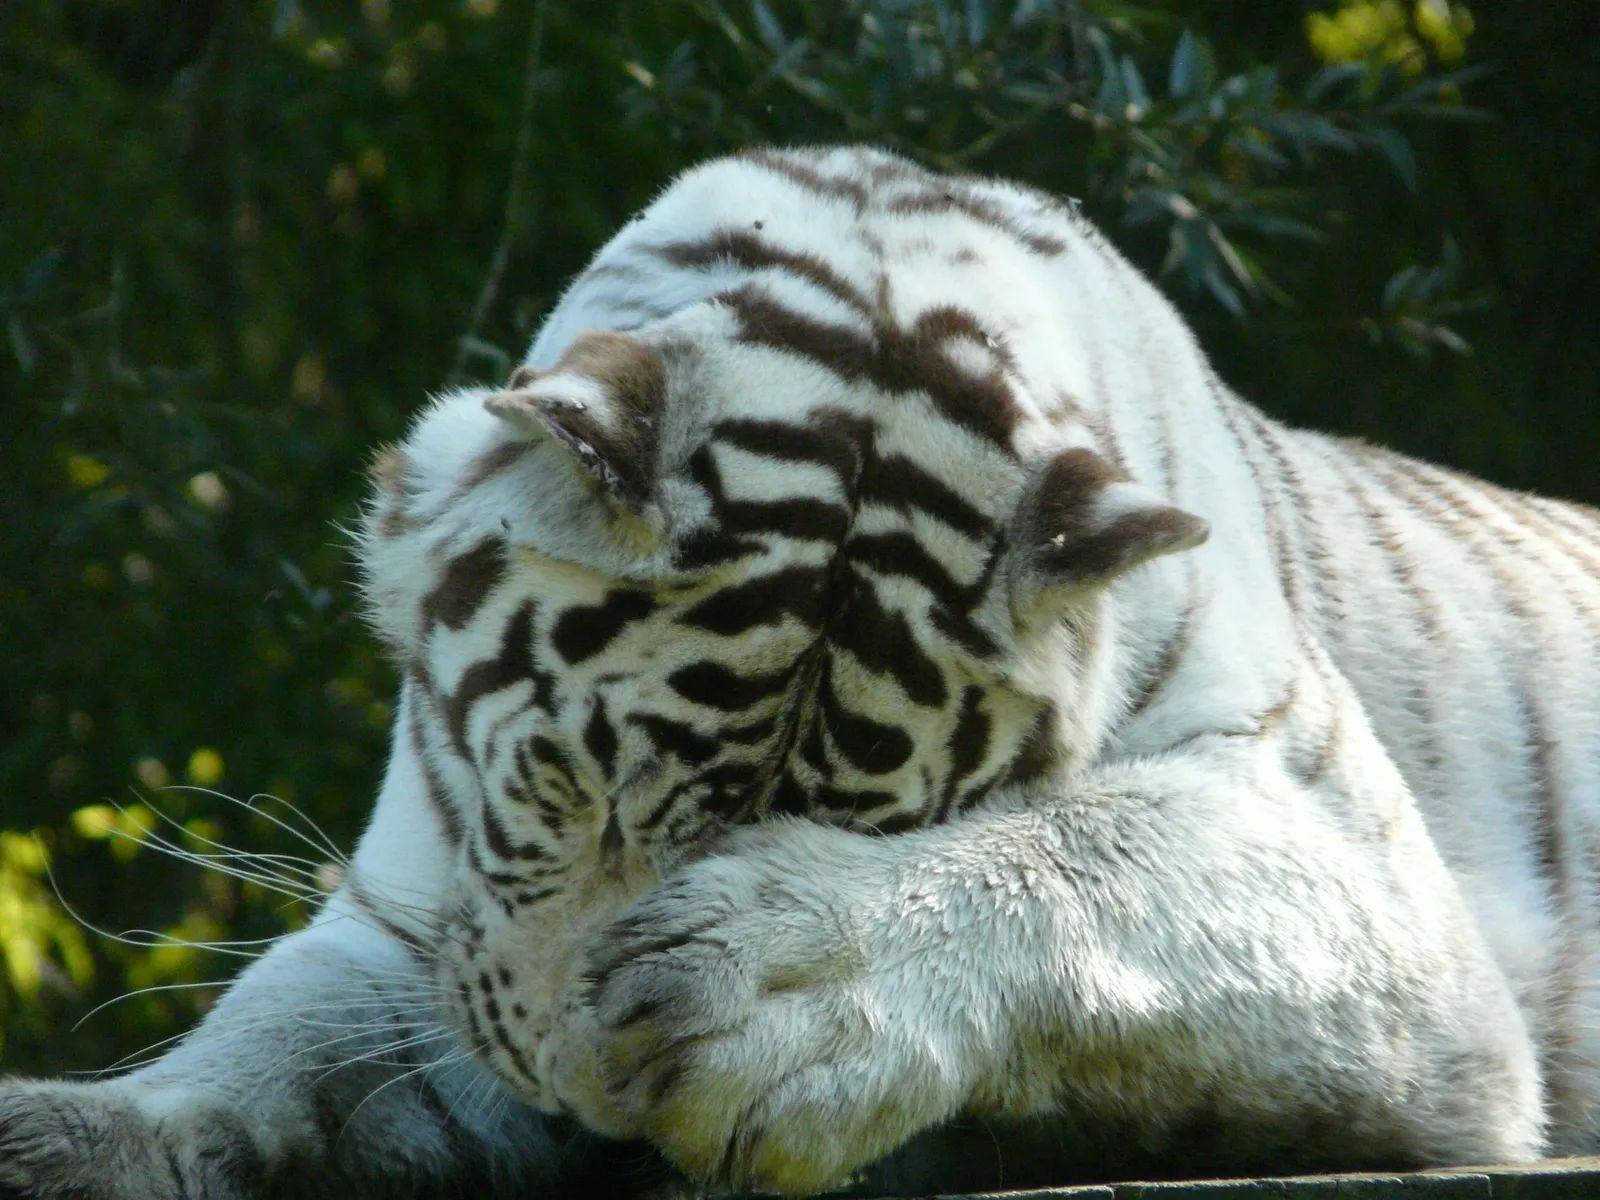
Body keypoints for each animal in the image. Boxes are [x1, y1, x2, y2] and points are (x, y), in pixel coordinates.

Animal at [3, 143, 1598, 1200]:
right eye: (573, 786)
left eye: (860, 830)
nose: (592, 1118)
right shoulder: (419, 909)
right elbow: (278, 1028)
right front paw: (81, 1134)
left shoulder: (1381, 894)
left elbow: (1101, 860)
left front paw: (765, 988)